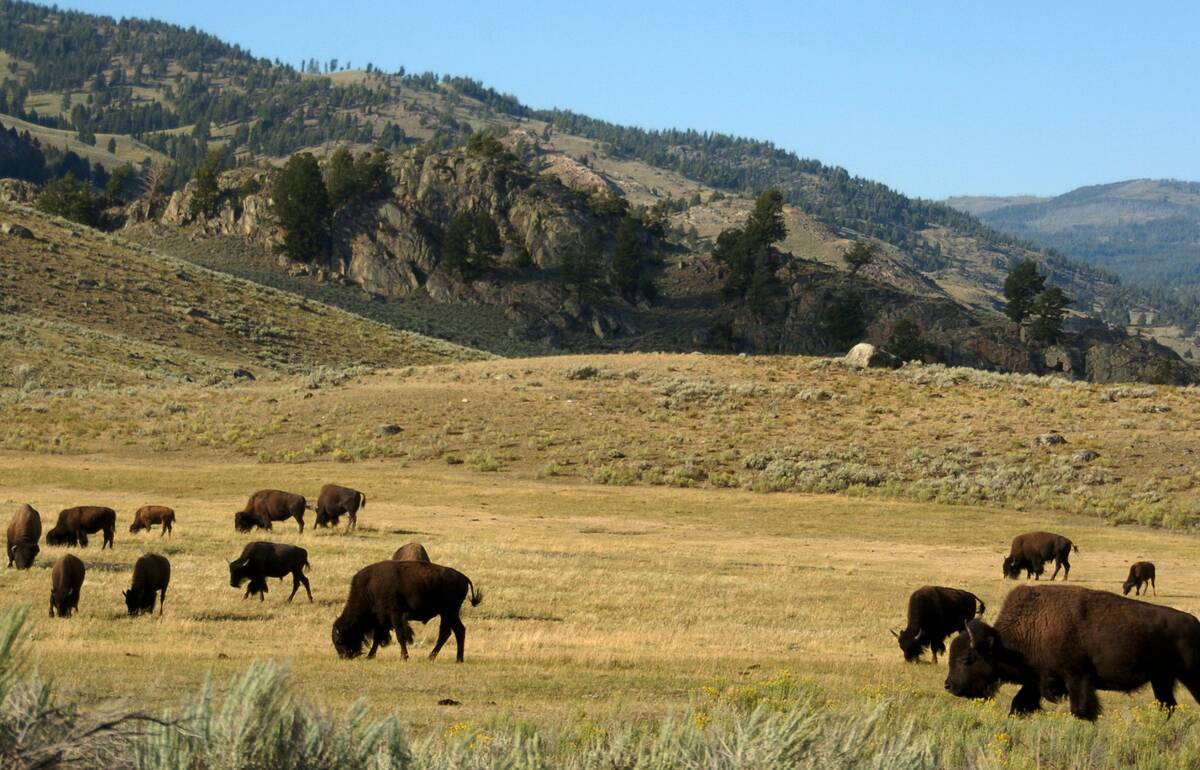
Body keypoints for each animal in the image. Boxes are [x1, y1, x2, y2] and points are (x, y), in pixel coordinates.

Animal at [331, 556, 480, 662]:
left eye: (339, 640)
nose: (344, 656)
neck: (369, 587)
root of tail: (463, 577)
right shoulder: (382, 620)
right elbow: (378, 637)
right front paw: (370, 656)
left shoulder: (395, 615)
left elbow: (400, 635)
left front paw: (404, 657)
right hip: (448, 613)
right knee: (454, 631)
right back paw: (453, 658)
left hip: (449, 612)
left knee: (450, 632)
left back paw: (438, 658)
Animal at [945, 585, 1200, 714]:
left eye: (967, 659)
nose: (949, 686)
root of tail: (1194, 622)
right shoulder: (1036, 681)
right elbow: (1019, 704)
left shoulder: (1077, 677)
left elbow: (1081, 709)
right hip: (1162, 678)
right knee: (1167, 705)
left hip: (1189, 675)